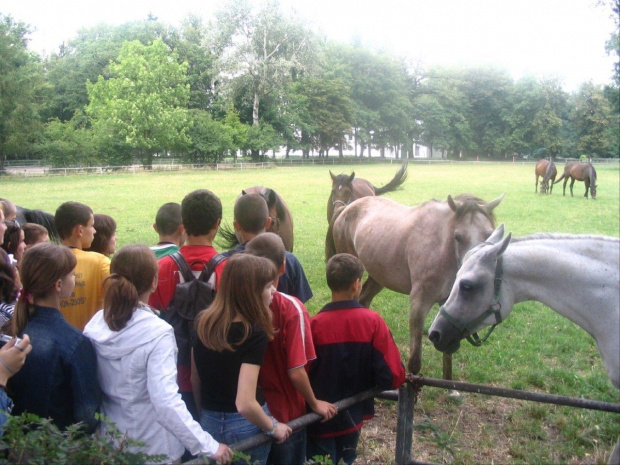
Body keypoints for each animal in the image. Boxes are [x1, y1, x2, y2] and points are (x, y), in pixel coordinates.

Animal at [326, 192, 502, 374]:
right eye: (458, 237)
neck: (440, 246)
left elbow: (447, 356)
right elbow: (415, 361)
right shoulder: (419, 303)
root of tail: (346, 208)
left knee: (364, 299)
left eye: (489, 235)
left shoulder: (448, 306)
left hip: (378, 276)